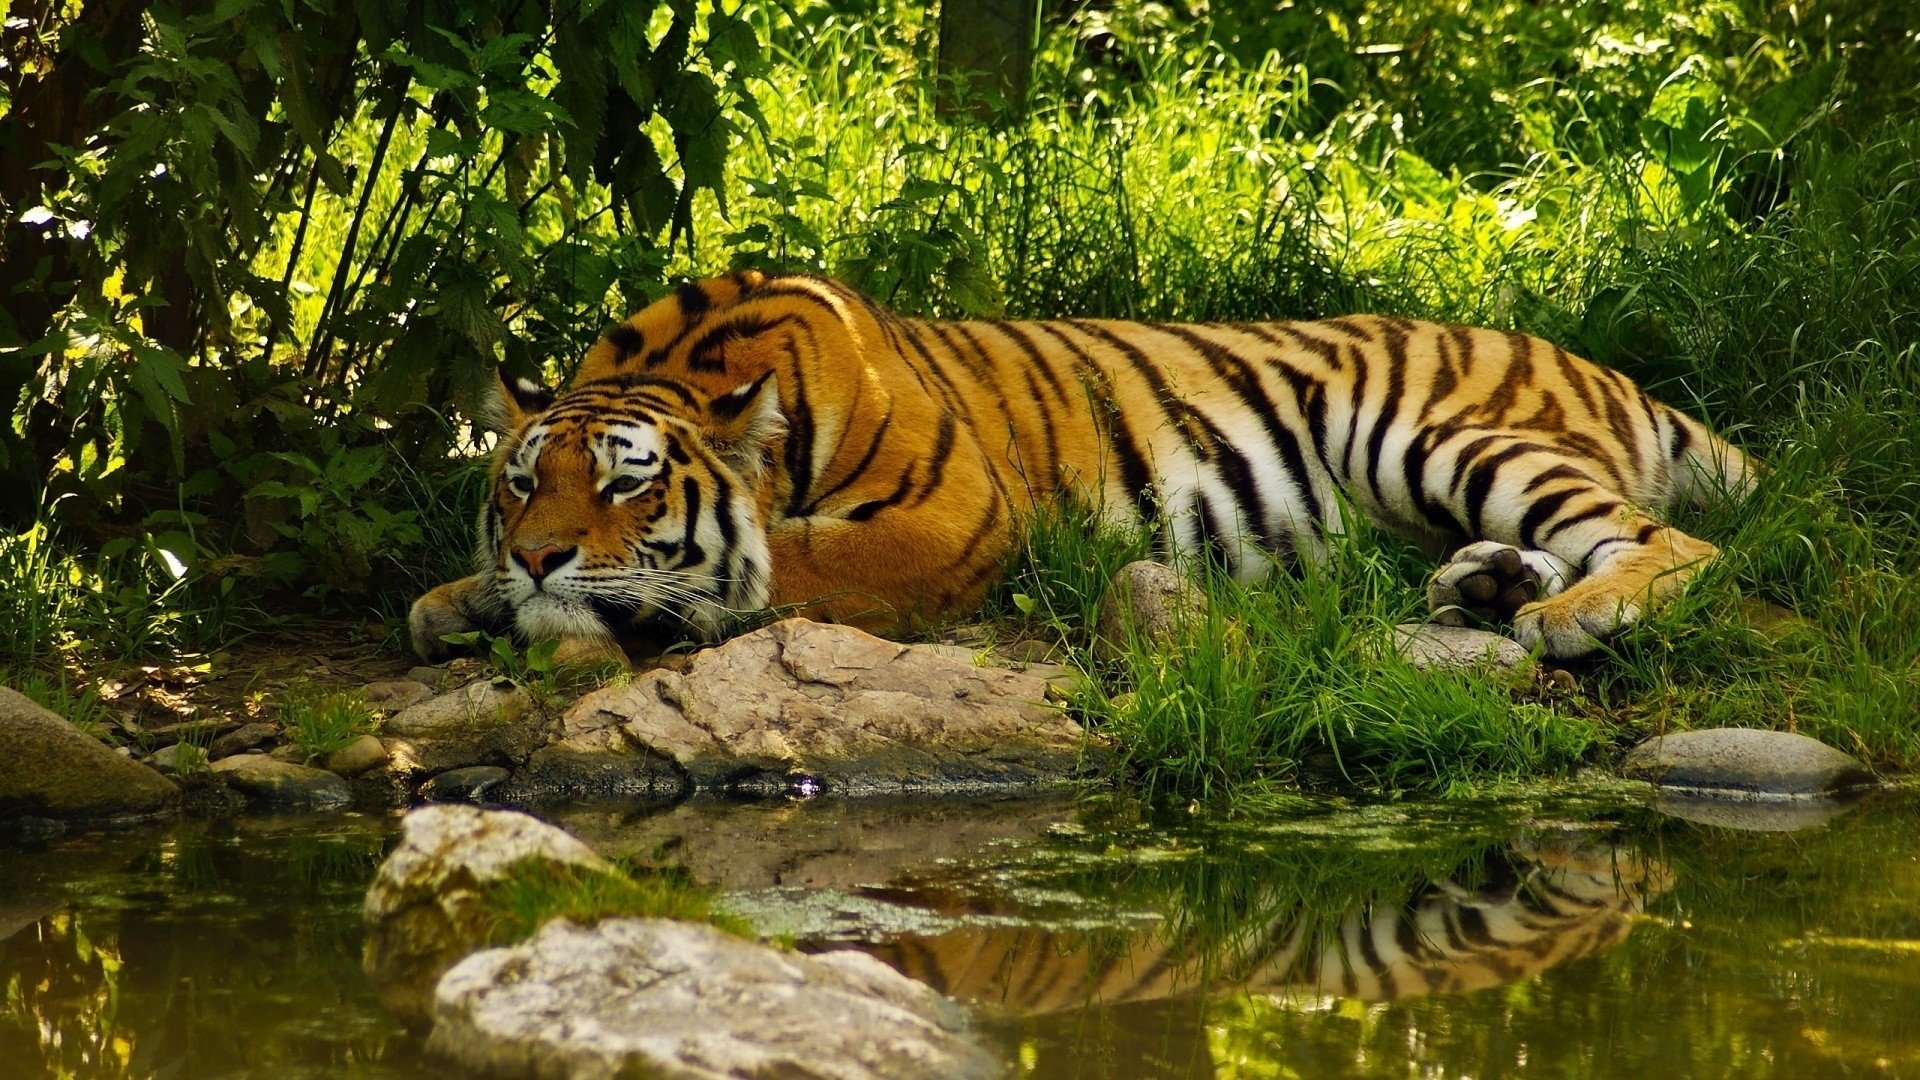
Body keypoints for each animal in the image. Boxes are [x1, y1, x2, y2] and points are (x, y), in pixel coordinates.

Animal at [408, 270, 1754, 663]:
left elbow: (781, 563)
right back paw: (1487, 587)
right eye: (521, 481)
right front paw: (460, 598)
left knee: (1673, 542)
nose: (539, 557)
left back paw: (1569, 617)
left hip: (1436, 432)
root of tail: (1599, 366)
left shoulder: (951, 518)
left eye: (628, 482)